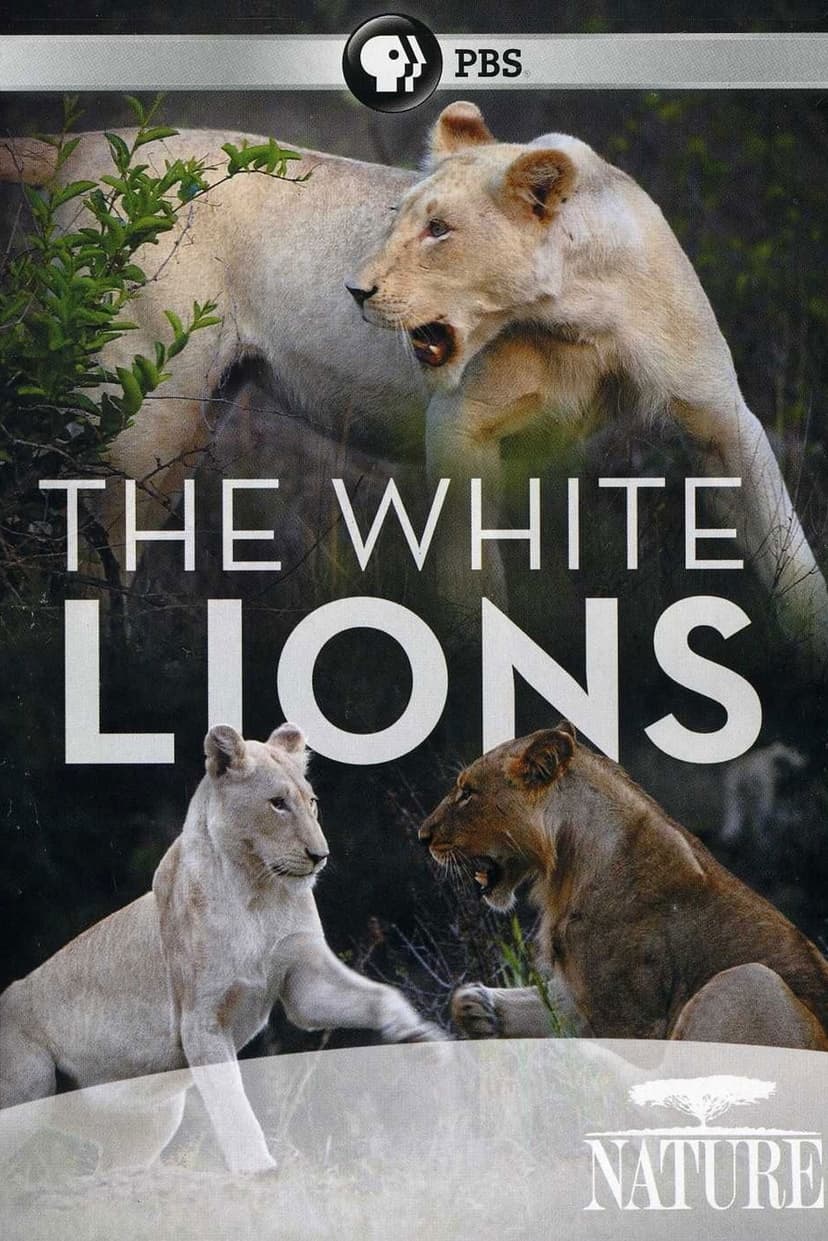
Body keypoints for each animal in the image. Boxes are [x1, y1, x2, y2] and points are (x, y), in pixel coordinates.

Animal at [0, 723, 443, 1174]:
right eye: (278, 804)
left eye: (311, 802)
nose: (320, 856)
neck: (259, 893)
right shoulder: (202, 1020)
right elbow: (232, 1103)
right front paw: (259, 1169)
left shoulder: (305, 984)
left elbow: (379, 995)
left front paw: (419, 1037)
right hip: (28, 1090)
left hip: (147, 1124)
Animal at [2, 106, 826, 661]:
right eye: (399, 218)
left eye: (439, 229)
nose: (355, 289)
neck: (576, 315)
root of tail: (78, 145)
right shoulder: (460, 426)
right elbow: (472, 575)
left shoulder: (719, 415)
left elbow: (785, 542)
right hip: (145, 405)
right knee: (88, 543)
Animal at [418, 722, 828, 1050]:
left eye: (467, 793)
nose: (423, 836)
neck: (568, 867)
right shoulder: (577, 996)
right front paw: (472, 1006)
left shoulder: (634, 1018)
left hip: (747, 981)